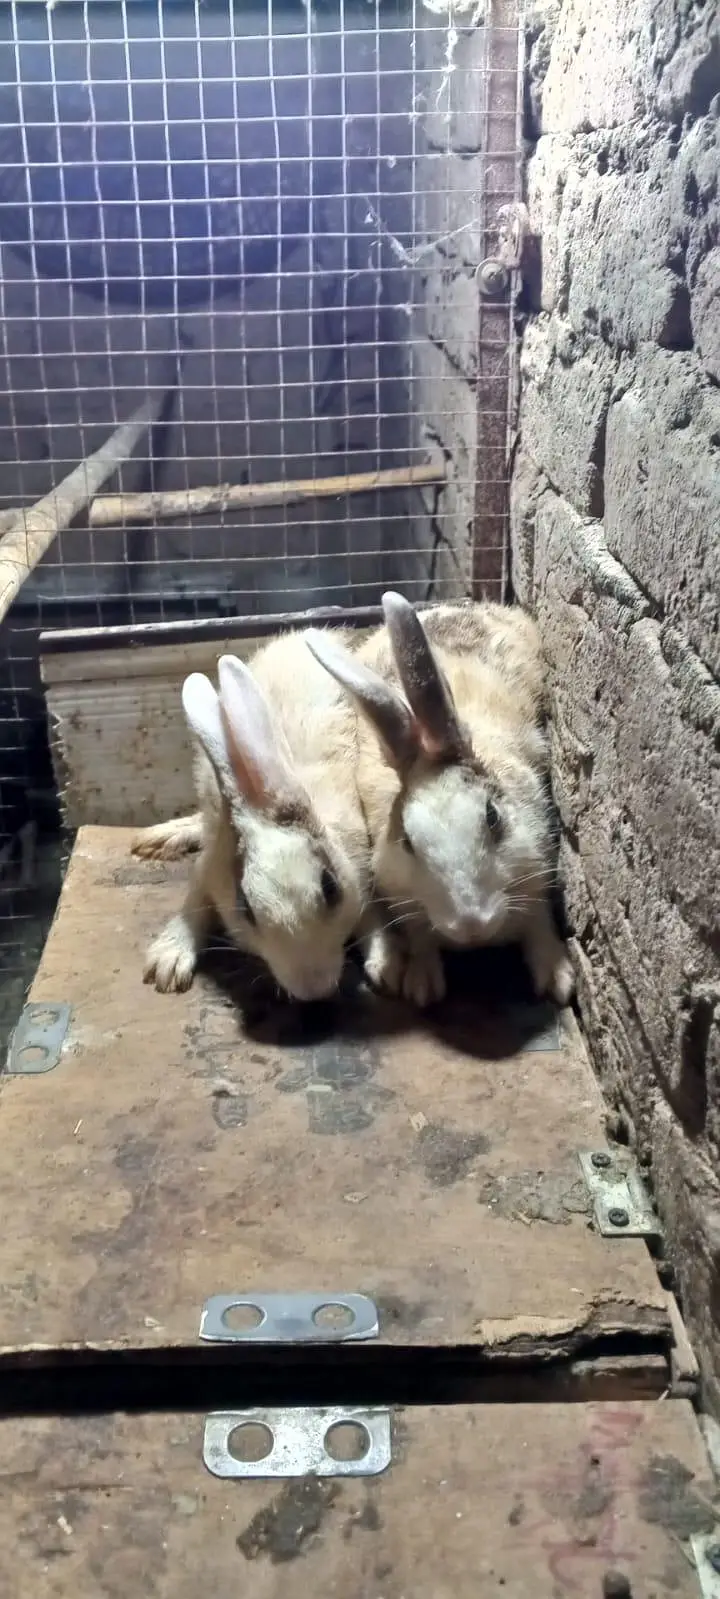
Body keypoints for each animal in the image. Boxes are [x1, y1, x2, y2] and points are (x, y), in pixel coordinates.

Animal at [136, 629, 371, 1003]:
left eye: (330, 886)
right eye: (244, 906)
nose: (314, 989)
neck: (255, 799)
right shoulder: (210, 865)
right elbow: (193, 904)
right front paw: (168, 963)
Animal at [306, 593, 574, 1010]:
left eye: (492, 817)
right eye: (407, 842)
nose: (472, 924)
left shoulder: (537, 870)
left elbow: (539, 923)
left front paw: (559, 980)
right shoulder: (404, 901)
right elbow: (420, 937)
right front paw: (421, 984)